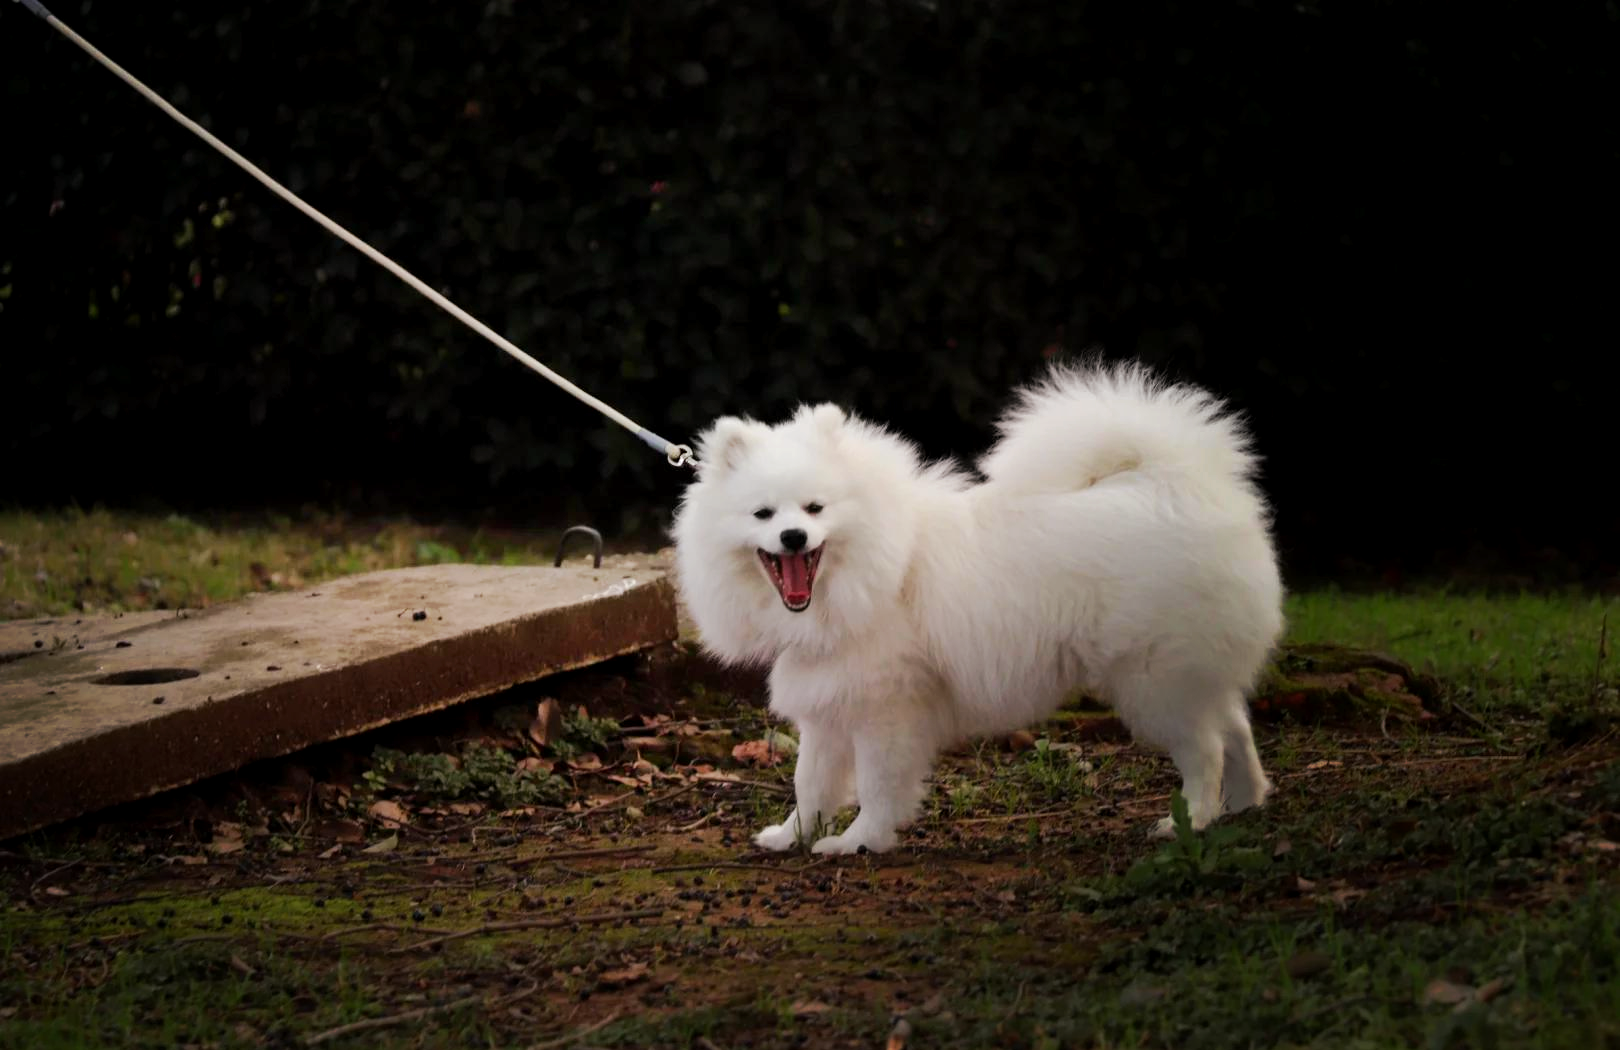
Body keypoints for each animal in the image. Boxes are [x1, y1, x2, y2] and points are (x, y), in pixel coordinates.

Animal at [667, 361, 1276, 855]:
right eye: (764, 514)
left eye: (815, 508)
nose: (793, 537)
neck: (869, 572)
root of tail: (1181, 480)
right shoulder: (830, 702)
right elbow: (809, 782)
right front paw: (791, 835)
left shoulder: (887, 709)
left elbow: (876, 786)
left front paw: (859, 842)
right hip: (1190, 670)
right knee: (1234, 725)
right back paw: (1247, 800)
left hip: (1154, 677)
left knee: (1205, 748)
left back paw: (1191, 820)